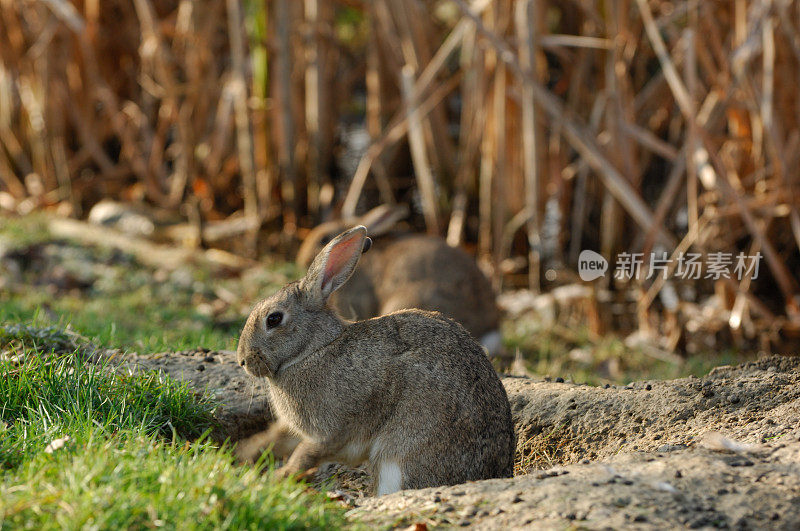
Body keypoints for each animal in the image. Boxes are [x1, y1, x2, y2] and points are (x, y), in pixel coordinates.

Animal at [236, 227, 512, 496]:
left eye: (273, 319)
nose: (242, 360)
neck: (314, 349)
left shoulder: (332, 432)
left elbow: (306, 454)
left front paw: (277, 477)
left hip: (400, 457)